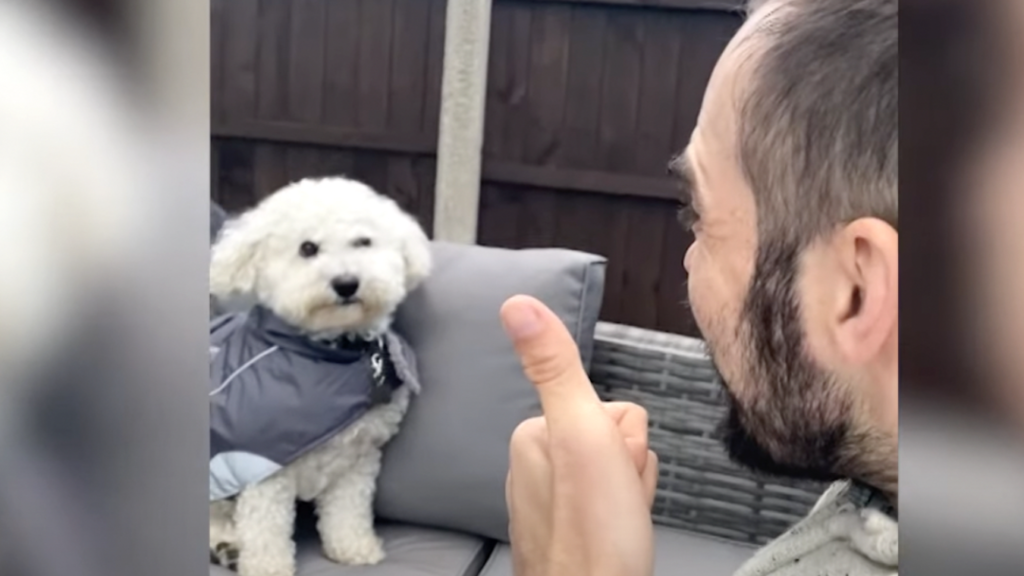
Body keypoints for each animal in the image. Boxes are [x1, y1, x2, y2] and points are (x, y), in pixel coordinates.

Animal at [207, 175, 432, 573]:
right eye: (307, 248)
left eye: (363, 242)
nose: (346, 283)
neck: (329, 356)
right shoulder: (263, 465)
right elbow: (265, 530)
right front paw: (268, 567)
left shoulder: (357, 459)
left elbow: (347, 511)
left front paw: (353, 548)